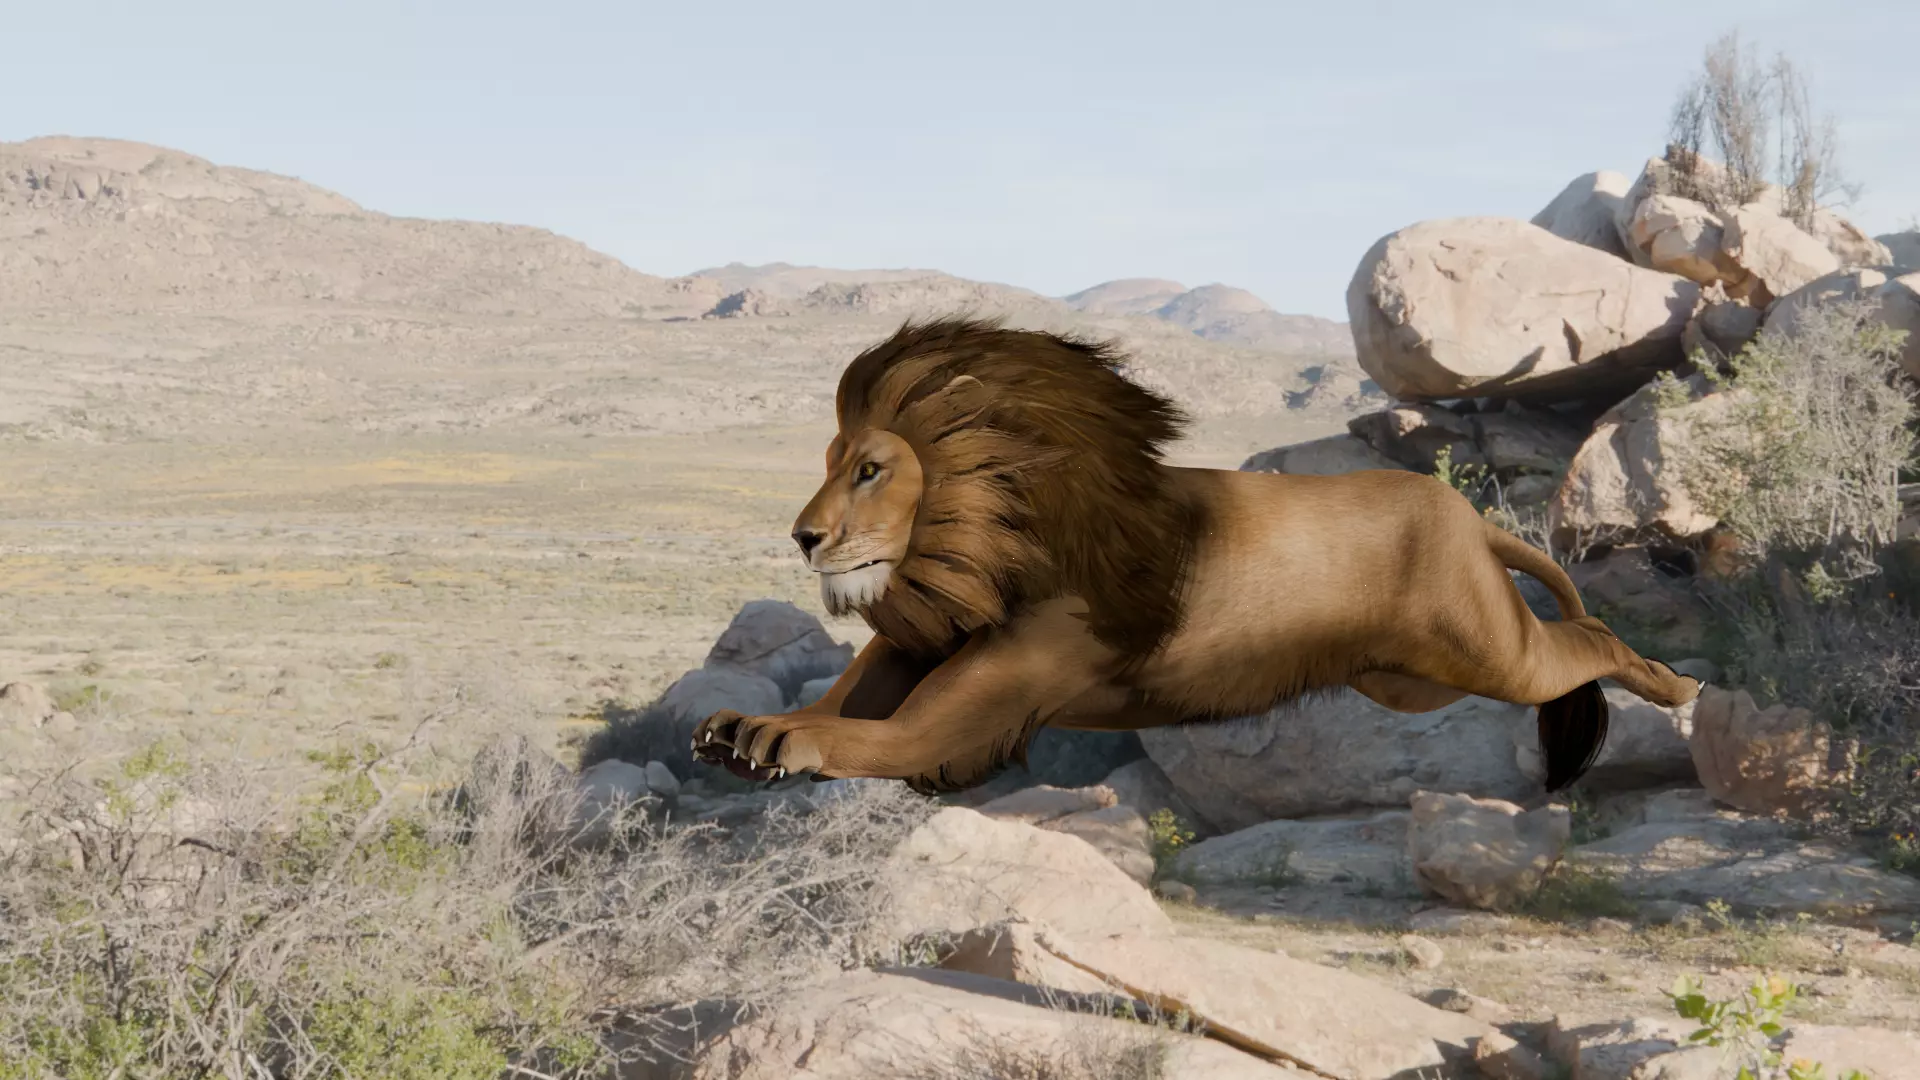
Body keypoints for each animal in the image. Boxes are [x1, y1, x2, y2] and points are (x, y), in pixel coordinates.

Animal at [693, 315, 1702, 796]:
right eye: (827, 463)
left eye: (869, 469)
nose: (804, 536)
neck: (978, 548)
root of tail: (1461, 512)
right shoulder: (917, 644)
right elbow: (839, 698)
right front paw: (735, 729)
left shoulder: (973, 704)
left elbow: (869, 733)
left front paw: (780, 738)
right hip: (1411, 681)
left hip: (1486, 648)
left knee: (1590, 642)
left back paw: (1679, 686)